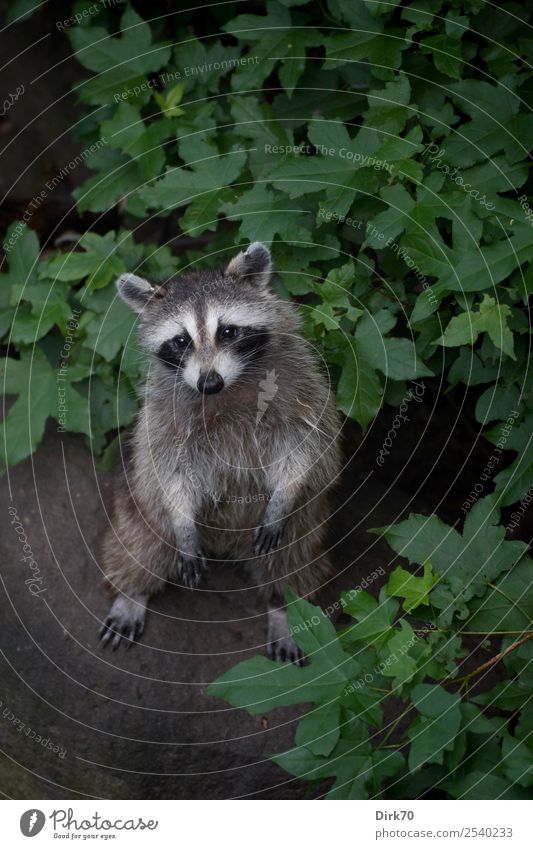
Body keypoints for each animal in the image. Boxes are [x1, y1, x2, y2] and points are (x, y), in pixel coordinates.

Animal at [100, 240, 340, 664]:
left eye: (228, 331)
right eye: (181, 340)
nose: (208, 382)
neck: (228, 388)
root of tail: (228, 546)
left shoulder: (301, 388)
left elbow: (302, 448)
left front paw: (285, 492)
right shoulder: (163, 416)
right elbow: (169, 469)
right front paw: (181, 520)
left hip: (306, 523)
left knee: (293, 564)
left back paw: (284, 611)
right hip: (134, 503)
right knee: (140, 542)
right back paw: (132, 591)